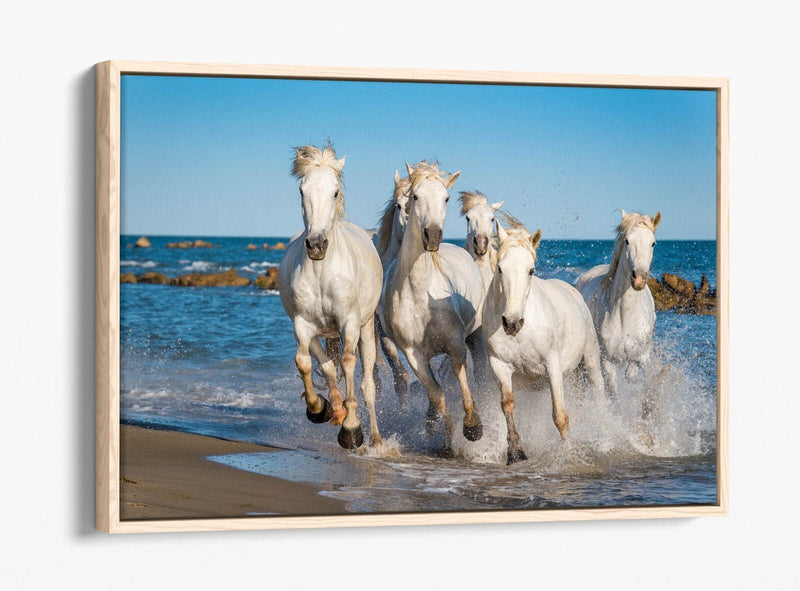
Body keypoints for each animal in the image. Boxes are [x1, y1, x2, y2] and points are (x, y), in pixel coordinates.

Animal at [278, 144, 384, 449]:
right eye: (302, 190)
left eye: (335, 192)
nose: (316, 245)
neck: (322, 271)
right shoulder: (302, 324)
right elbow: (305, 363)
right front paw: (319, 409)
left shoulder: (349, 322)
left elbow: (348, 363)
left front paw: (352, 429)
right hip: (318, 332)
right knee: (326, 366)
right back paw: (334, 408)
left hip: (366, 328)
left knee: (367, 384)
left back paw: (376, 439)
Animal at [379, 161, 486, 449]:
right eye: (414, 197)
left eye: (446, 198)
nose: (433, 236)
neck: (420, 293)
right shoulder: (414, 354)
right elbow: (437, 394)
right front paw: (449, 438)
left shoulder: (456, 340)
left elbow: (460, 374)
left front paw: (473, 426)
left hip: (476, 336)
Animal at [483, 219, 605, 464]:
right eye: (500, 268)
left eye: (531, 270)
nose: (512, 323)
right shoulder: (499, 365)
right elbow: (508, 405)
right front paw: (515, 453)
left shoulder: (552, 365)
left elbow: (560, 415)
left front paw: (567, 454)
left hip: (590, 361)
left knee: (599, 394)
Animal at [574, 210, 661, 398]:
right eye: (627, 241)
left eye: (653, 243)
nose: (639, 278)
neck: (625, 316)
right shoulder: (608, 363)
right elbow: (614, 395)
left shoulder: (643, 357)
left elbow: (638, 376)